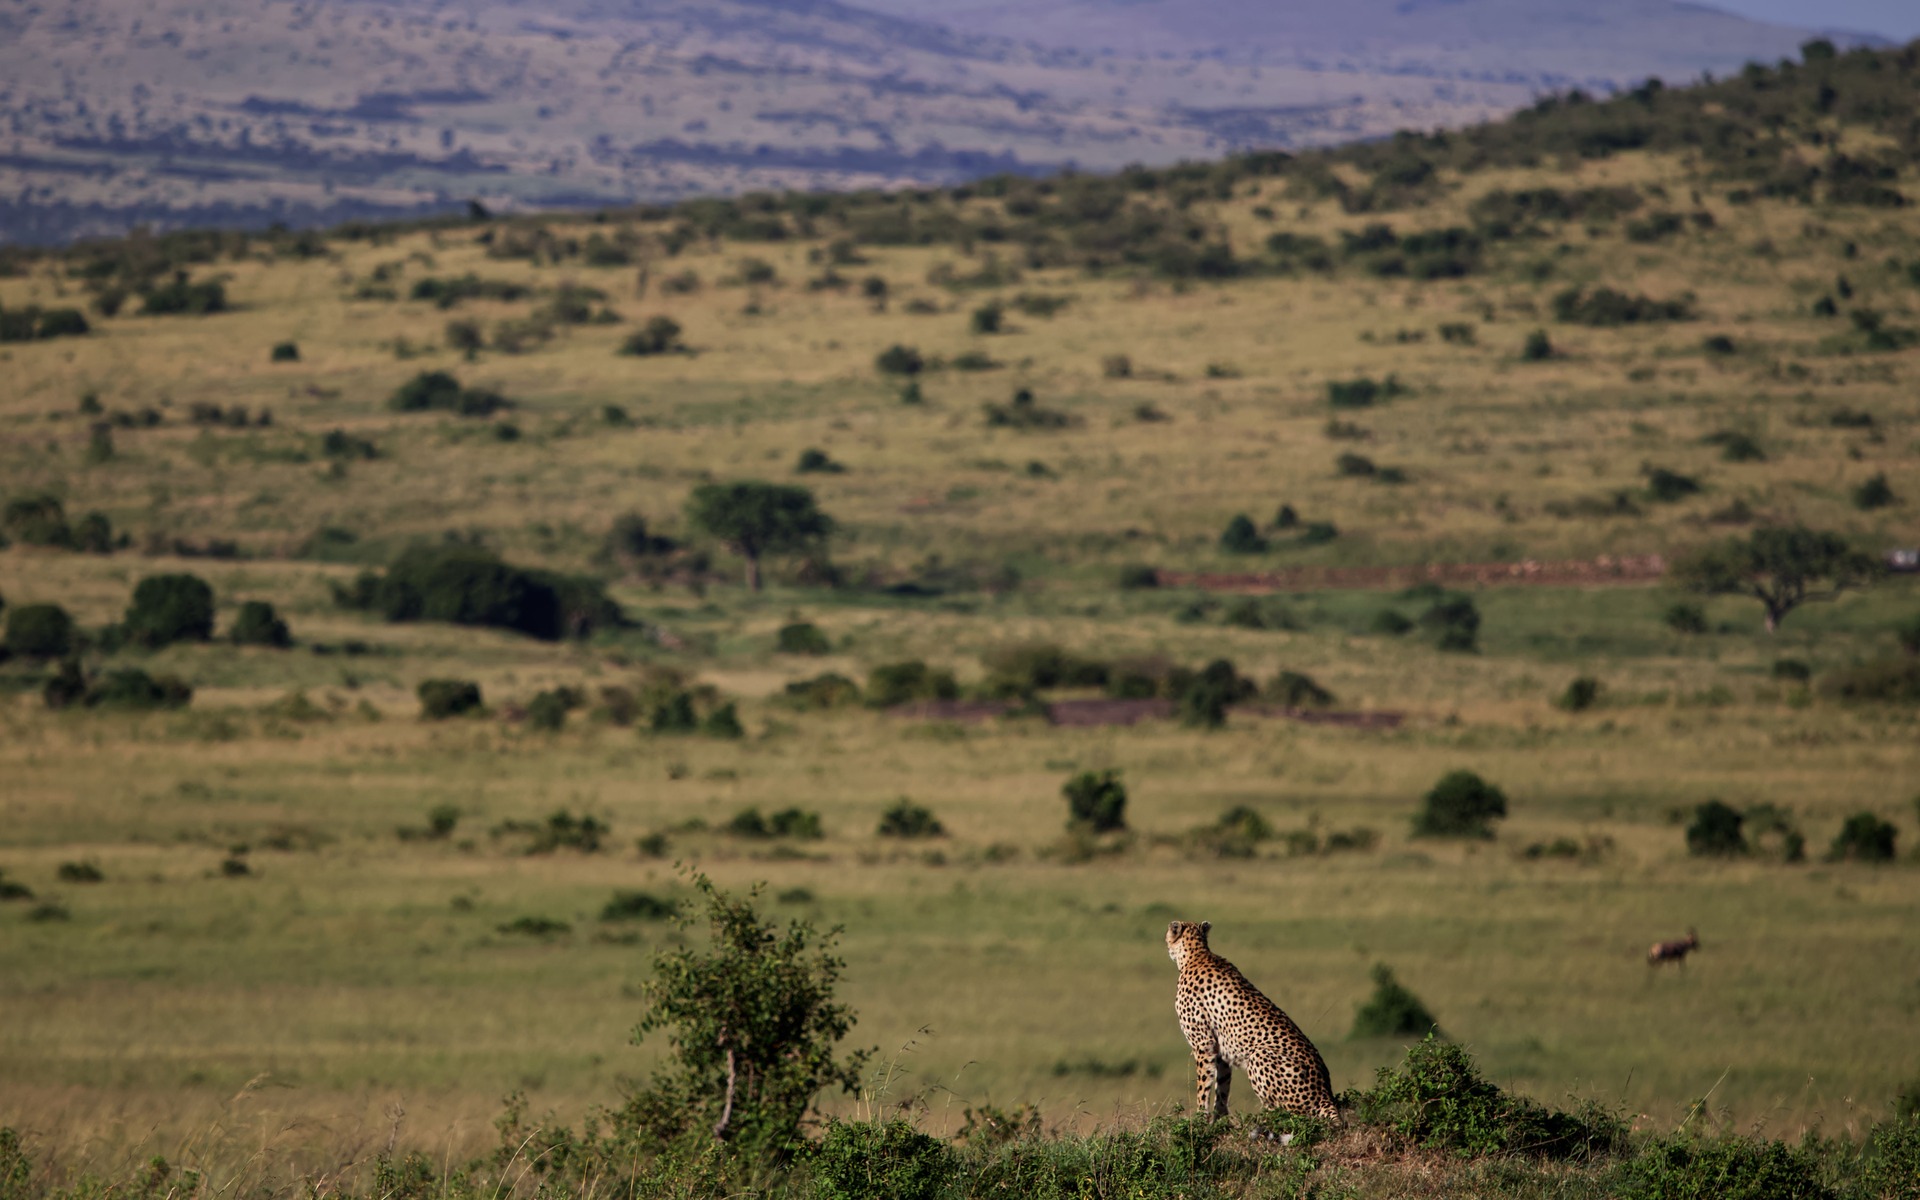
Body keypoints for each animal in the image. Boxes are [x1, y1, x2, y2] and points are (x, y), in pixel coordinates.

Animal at [1166, 919, 1340, 1121]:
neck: (1196, 953)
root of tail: (1325, 1092)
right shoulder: (1221, 1050)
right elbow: (1222, 1087)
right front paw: (1220, 1119)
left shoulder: (1203, 1044)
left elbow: (1203, 1087)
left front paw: (1200, 1119)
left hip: (1259, 1055)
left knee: (1288, 1113)